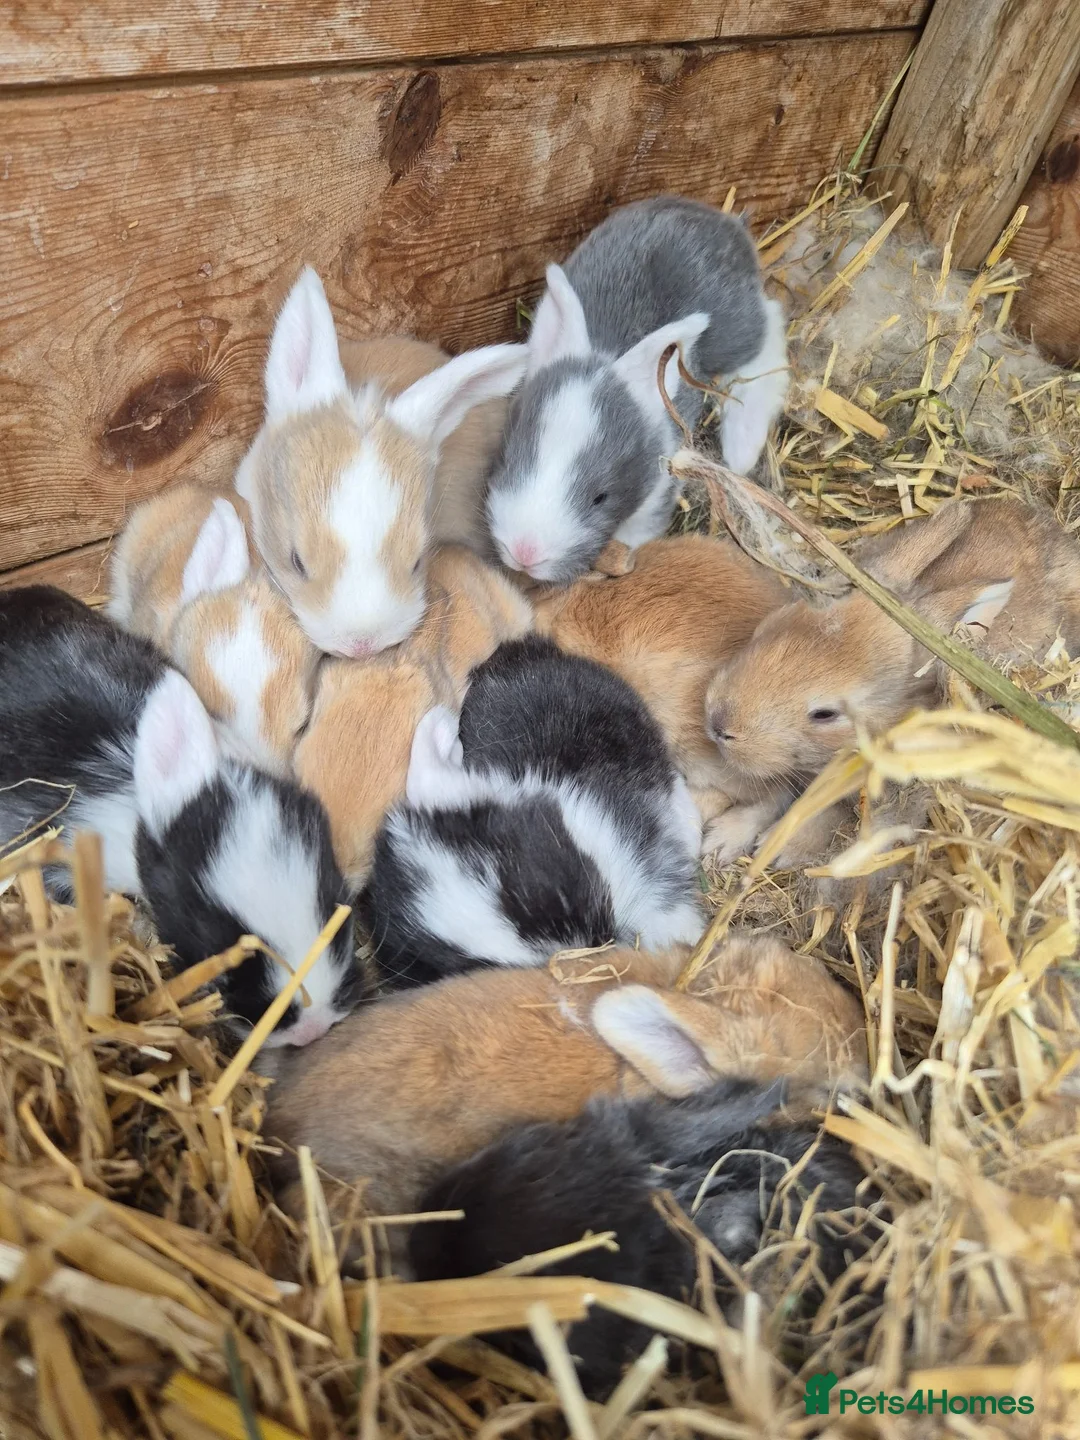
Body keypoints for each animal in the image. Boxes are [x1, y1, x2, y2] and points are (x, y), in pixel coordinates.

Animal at [485, 196, 789, 584]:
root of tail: (724, 223)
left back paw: (742, 448)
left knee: (770, 329)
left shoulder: (656, 498)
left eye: (601, 497)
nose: (525, 553)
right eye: (506, 459)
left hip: (739, 331)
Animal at [701, 497, 1080, 861]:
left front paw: (780, 847)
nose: (719, 724)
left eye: (825, 714)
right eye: (771, 625)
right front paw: (720, 841)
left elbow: (821, 812)